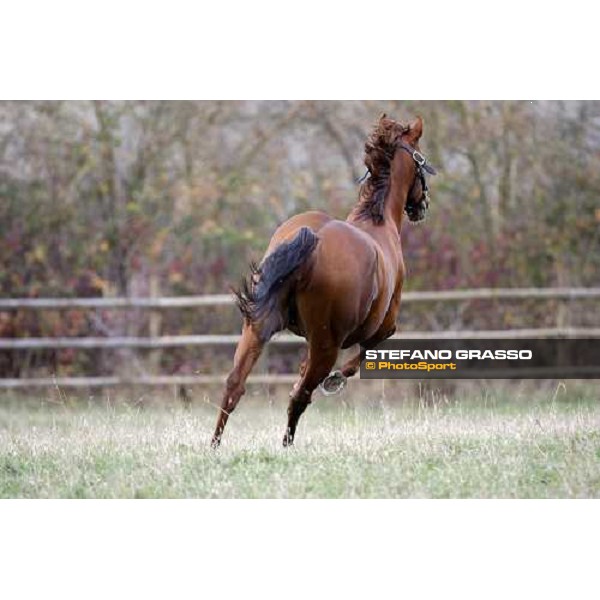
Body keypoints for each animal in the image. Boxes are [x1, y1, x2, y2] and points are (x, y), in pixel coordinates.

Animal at [211, 113, 436, 446]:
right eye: (421, 160)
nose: (422, 206)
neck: (377, 224)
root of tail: (313, 240)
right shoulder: (384, 326)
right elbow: (368, 351)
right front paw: (336, 380)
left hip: (257, 328)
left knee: (234, 385)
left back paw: (214, 445)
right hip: (326, 346)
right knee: (300, 397)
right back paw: (287, 443)